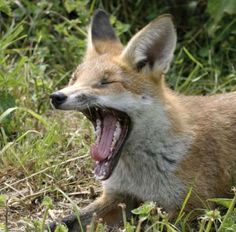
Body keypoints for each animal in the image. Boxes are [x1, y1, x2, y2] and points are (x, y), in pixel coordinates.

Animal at [49, 9, 236, 232]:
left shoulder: (195, 207)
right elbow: (63, 222)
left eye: (105, 82)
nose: (56, 97)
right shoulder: (118, 196)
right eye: (74, 79)